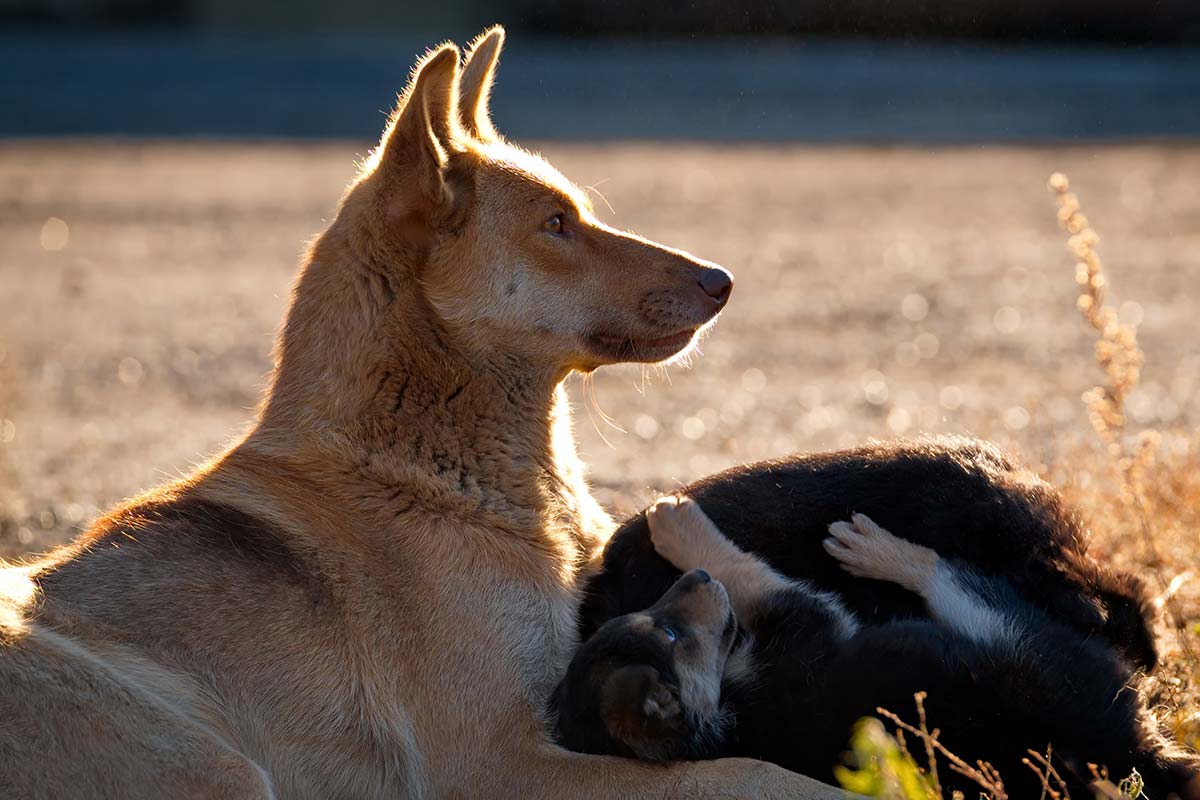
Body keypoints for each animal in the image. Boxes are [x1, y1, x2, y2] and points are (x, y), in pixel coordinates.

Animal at [0, 26, 844, 800]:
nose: (721, 281)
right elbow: (753, 769)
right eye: (556, 225)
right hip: (215, 763)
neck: (422, 466)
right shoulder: (501, 762)